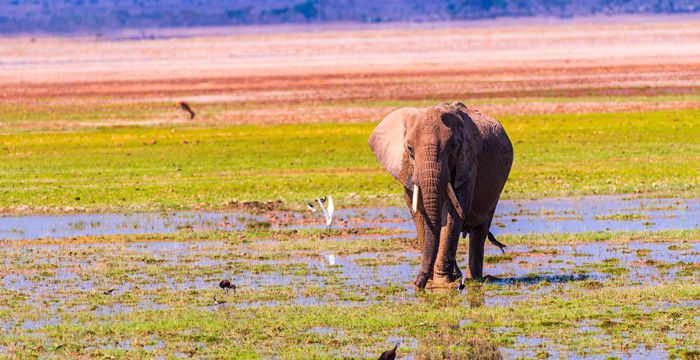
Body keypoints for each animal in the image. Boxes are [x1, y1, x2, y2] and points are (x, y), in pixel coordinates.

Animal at [370, 101, 512, 290]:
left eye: (452, 147)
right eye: (409, 149)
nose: (416, 284)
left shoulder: (468, 164)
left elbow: (453, 214)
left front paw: (442, 283)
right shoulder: (406, 170)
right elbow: (418, 214)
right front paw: (433, 281)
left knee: (479, 231)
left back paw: (474, 278)